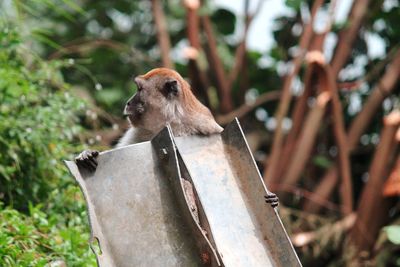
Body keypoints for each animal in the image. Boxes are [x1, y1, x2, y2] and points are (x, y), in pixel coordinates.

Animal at [76, 67, 278, 209]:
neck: (172, 123)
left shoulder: (207, 127)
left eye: (139, 89)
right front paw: (87, 154)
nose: (128, 102)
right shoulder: (137, 132)